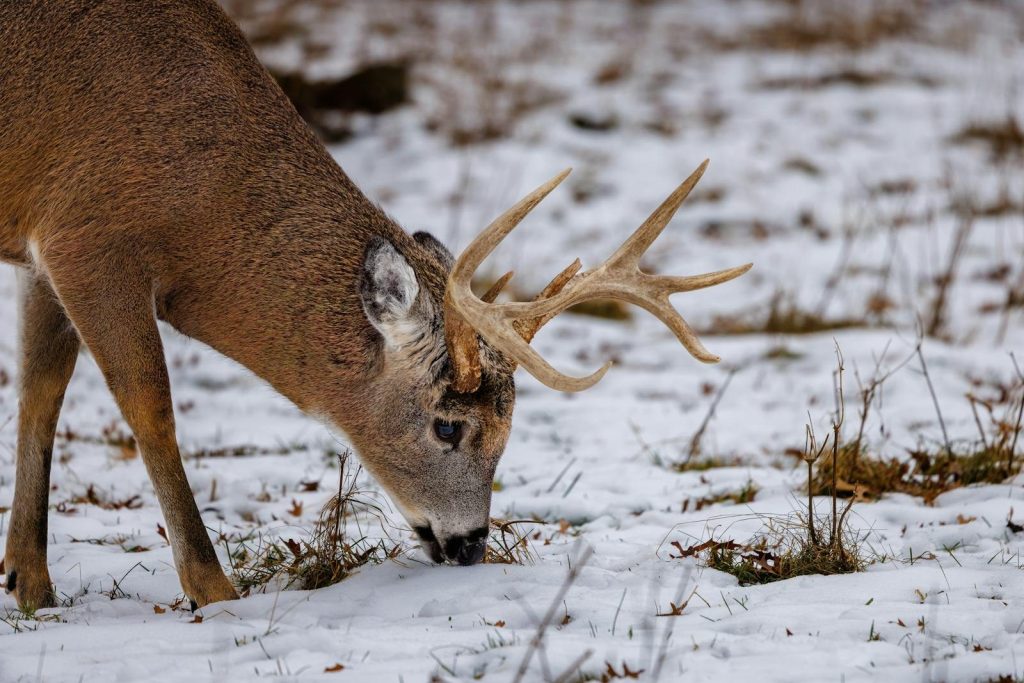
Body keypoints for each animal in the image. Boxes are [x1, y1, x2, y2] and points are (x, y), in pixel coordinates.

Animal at [0, 0, 751, 611]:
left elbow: (40, 392)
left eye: (508, 431)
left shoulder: (45, 253)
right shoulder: (87, 239)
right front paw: (212, 589)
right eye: (447, 426)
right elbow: (149, 406)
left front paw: (27, 582)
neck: (198, 194)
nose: (470, 545)